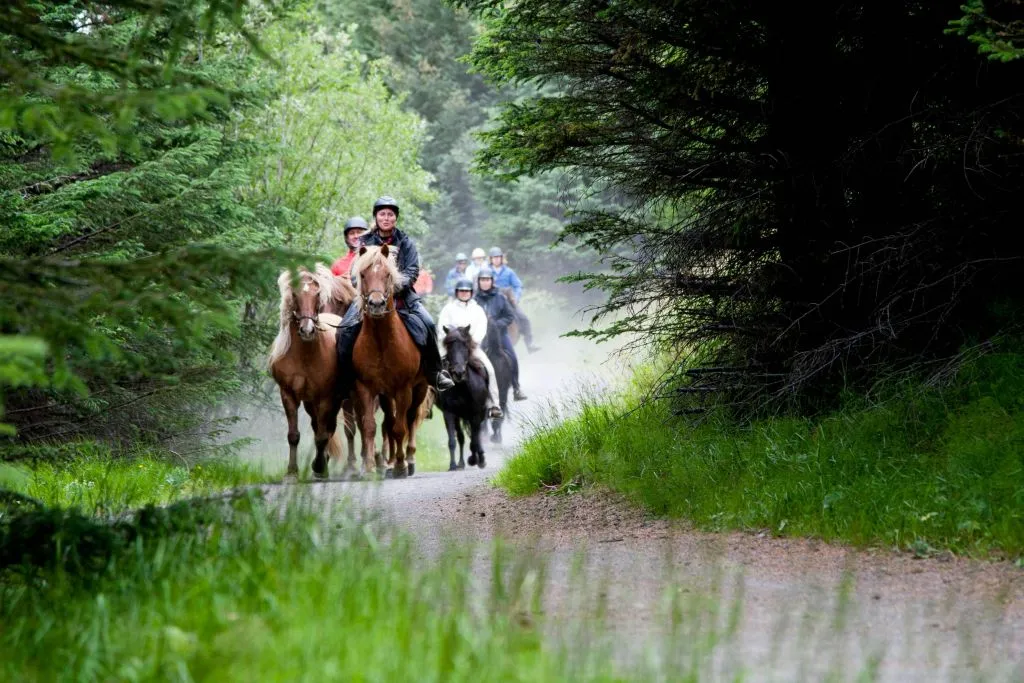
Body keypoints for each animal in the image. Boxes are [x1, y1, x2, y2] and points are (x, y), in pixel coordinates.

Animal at [268, 263, 356, 478]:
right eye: (294, 293)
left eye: (317, 294)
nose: (307, 330)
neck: (305, 355)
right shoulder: (288, 395)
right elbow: (294, 435)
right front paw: (292, 472)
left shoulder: (325, 397)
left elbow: (323, 435)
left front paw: (319, 466)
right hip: (312, 402)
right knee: (321, 427)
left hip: (345, 398)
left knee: (347, 429)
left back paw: (350, 467)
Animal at [349, 244, 430, 478]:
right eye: (363, 275)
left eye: (387, 274)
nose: (376, 304)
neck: (381, 342)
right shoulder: (365, 387)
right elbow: (369, 426)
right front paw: (368, 468)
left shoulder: (403, 388)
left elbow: (400, 428)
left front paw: (400, 466)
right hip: (385, 394)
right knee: (389, 421)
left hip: (419, 388)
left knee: (410, 419)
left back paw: (409, 459)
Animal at [437, 325, 489, 470]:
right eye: (449, 346)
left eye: (465, 345)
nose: (459, 373)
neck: (462, 388)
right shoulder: (449, 413)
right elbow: (452, 440)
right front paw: (453, 465)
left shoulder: (476, 414)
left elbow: (475, 440)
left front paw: (474, 459)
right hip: (459, 416)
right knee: (461, 437)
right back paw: (461, 463)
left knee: (476, 436)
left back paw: (480, 458)